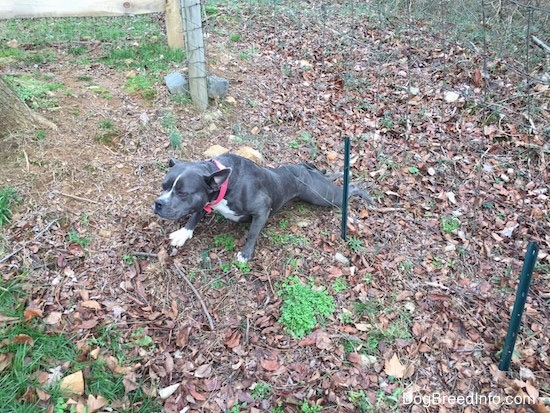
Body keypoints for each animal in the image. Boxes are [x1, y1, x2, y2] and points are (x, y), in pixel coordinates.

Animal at [153, 153, 374, 262]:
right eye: (163, 186)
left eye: (183, 193)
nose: (158, 203)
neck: (224, 183)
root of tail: (304, 167)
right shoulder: (206, 198)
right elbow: (196, 214)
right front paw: (184, 233)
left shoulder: (261, 210)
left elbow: (252, 233)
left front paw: (246, 254)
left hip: (323, 196)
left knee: (350, 188)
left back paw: (366, 197)